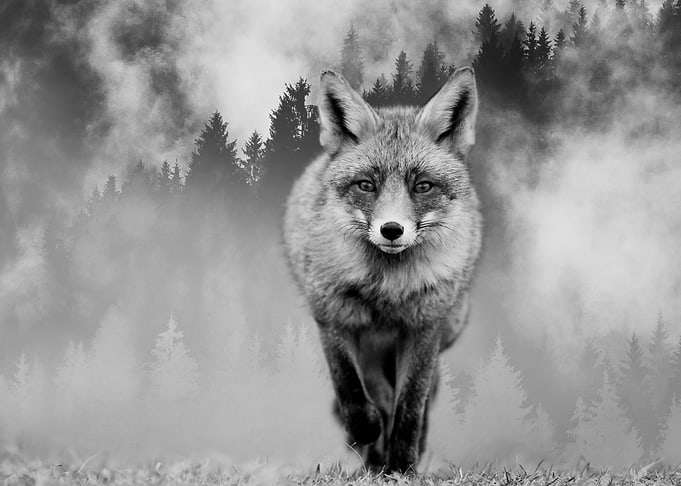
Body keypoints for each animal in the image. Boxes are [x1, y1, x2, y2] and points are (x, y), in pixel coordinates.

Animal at [283, 66, 482, 473]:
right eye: (366, 185)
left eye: (422, 186)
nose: (392, 230)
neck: (386, 286)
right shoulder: (333, 318)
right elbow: (350, 389)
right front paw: (367, 431)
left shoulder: (423, 328)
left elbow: (411, 405)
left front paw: (403, 465)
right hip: (371, 344)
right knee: (377, 391)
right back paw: (372, 452)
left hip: (446, 328)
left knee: (422, 394)